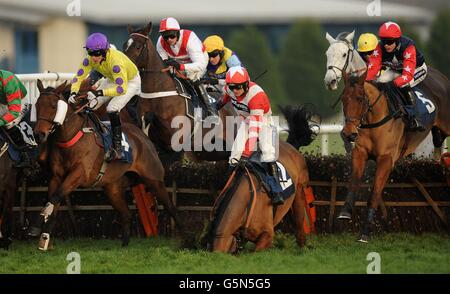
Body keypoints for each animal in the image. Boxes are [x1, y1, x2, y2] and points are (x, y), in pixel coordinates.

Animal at [32, 80, 180, 248]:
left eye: (53, 106)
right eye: (37, 105)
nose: (38, 135)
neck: (71, 138)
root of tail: (143, 136)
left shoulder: (79, 174)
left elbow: (56, 196)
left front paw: (37, 225)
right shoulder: (57, 177)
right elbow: (53, 199)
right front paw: (44, 235)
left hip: (154, 180)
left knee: (171, 207)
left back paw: (188, 240)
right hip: (112, 188)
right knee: (126, 214)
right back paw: (124, 245)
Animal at [326, 31, 450, 241]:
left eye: (343, 54)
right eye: (327, 54)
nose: (330, 80)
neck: (373, 116)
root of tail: (443, 78)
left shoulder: (385, 159)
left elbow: (374, 194)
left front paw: (365, 232)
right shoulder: (359, 151)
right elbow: (354, 182)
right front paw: (345, 212)